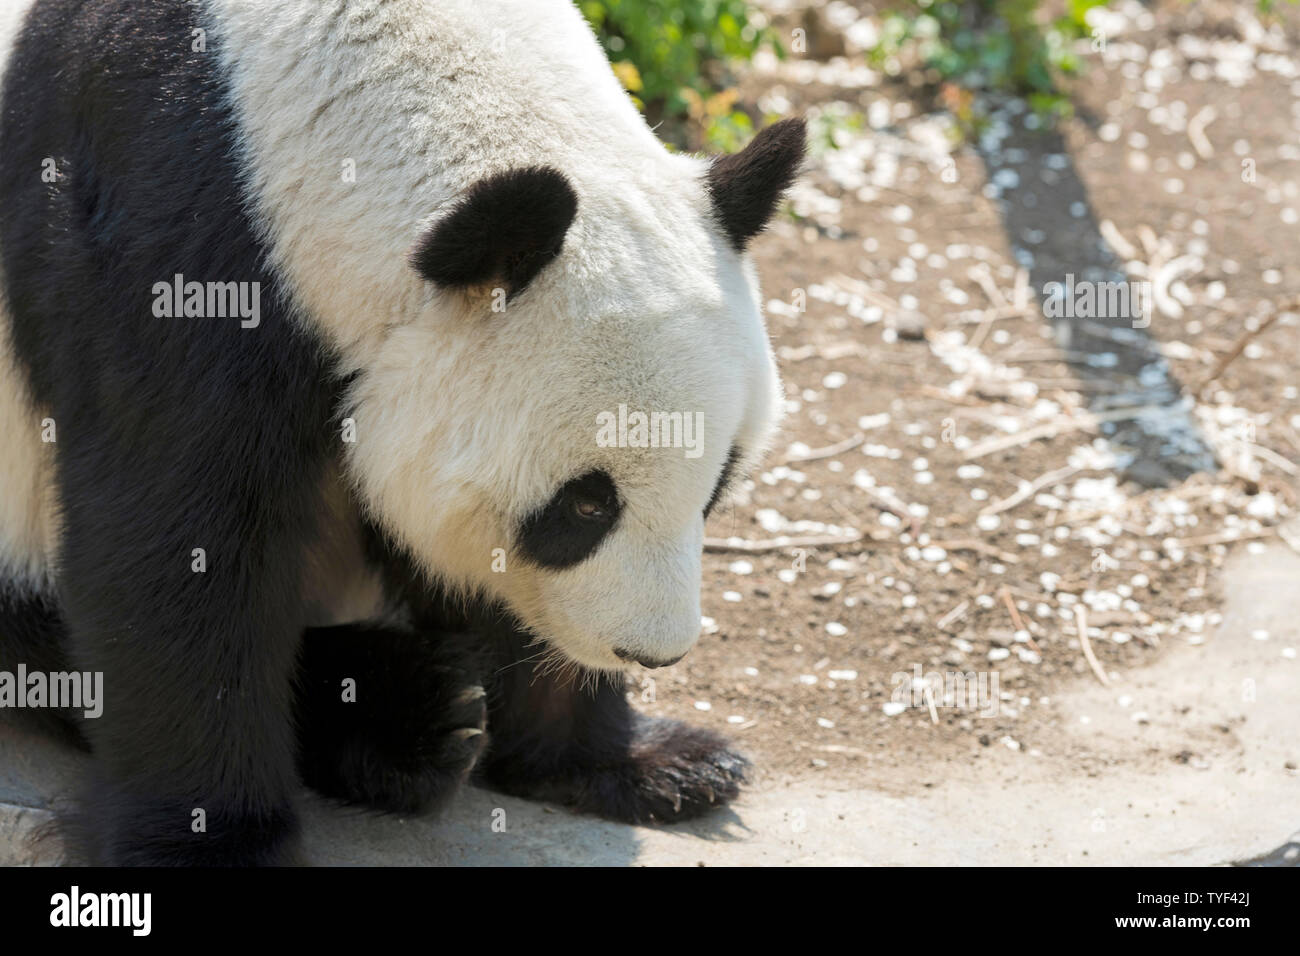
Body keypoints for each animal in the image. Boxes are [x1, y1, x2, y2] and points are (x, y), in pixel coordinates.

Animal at [0, 0, 804, 865]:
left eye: (716, 487)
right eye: (587, 506)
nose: (652, 650)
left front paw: (642, 762)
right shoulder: (172, 241)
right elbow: (178, 540)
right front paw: (215, 842)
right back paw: (409, 715)